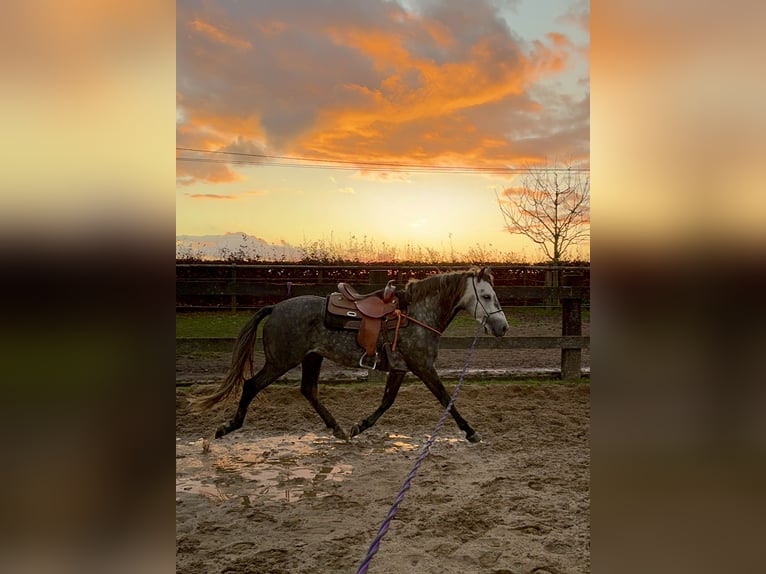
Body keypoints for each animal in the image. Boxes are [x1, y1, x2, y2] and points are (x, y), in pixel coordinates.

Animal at [198, 268, 510, 444]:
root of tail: (274, 308)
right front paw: (471, 432)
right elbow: (446, 399)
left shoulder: (400, 369)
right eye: (486, 295)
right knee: (251, 385)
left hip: (312, 358)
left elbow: (386, 402)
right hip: (281, 361)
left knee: (308, 390)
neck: (416, 315)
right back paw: (227, 427)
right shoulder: (422, 367)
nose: (503, 327)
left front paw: (359, 426)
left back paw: (338, 430)